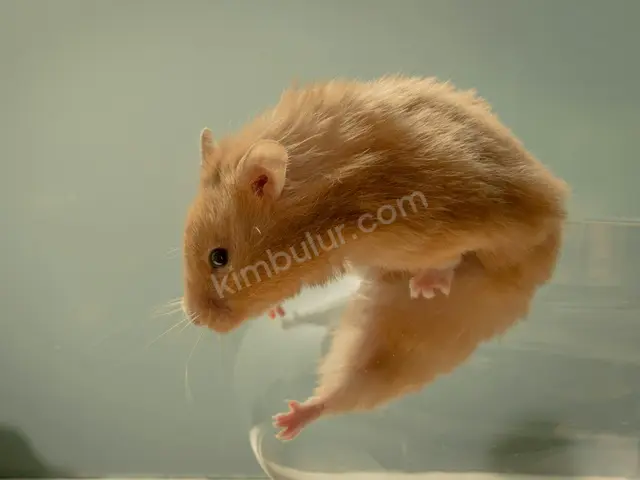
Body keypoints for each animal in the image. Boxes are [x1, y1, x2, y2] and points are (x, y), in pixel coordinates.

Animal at [180, 75, 568, 438]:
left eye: (219, 257)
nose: (196, 320)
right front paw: (276, 310)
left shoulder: (446, 224)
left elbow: (453, 255)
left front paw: (427, 284)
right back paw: (287, 419)